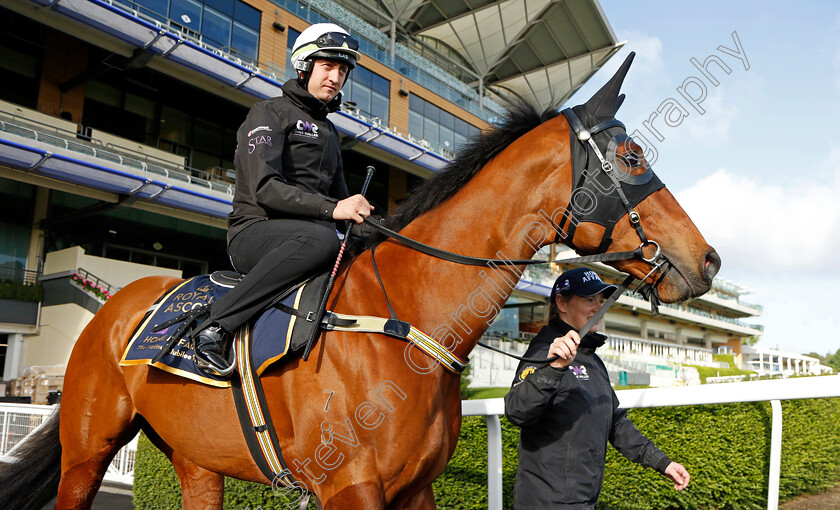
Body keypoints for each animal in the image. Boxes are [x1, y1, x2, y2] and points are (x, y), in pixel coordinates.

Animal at [3, 53, 720, 508]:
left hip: (195, 459)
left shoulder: (414, 490)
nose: (707, 259)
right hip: (87, 450)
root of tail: (116, 305)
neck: (403, 320)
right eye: (633, 157)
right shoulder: (351, 487)